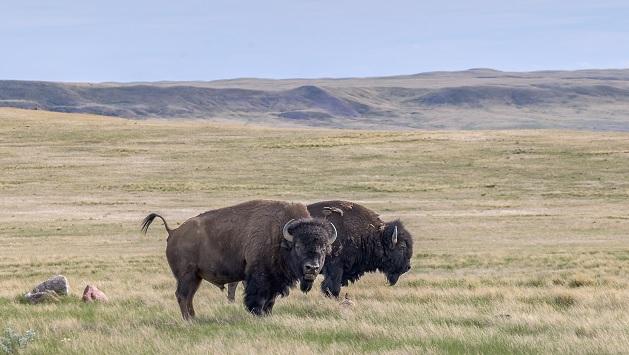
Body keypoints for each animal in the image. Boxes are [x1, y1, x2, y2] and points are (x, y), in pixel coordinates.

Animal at [140, 200, 336, 320]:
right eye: (298, 246)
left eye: (324, 247)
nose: (312, 267)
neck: (279, 234)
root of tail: (173, 232)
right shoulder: (259, 277)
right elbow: (258, 298)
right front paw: (256, 314)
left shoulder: (275, 281)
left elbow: (270, 301)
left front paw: (267, 315)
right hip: (186, 275)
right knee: (182, 295)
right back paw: (189, 320)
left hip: (196, 277)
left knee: (188, 297)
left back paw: (194, 318)